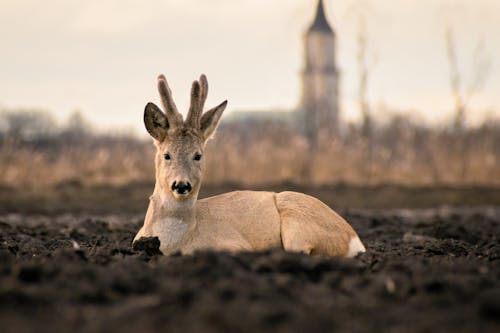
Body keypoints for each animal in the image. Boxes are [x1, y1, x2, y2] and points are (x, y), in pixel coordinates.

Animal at [134, 74, 368, 256]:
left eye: (198, 155)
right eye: (167, 155)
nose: (181, 185)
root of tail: (355, 240)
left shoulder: (234, 244)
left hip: (297, 223)